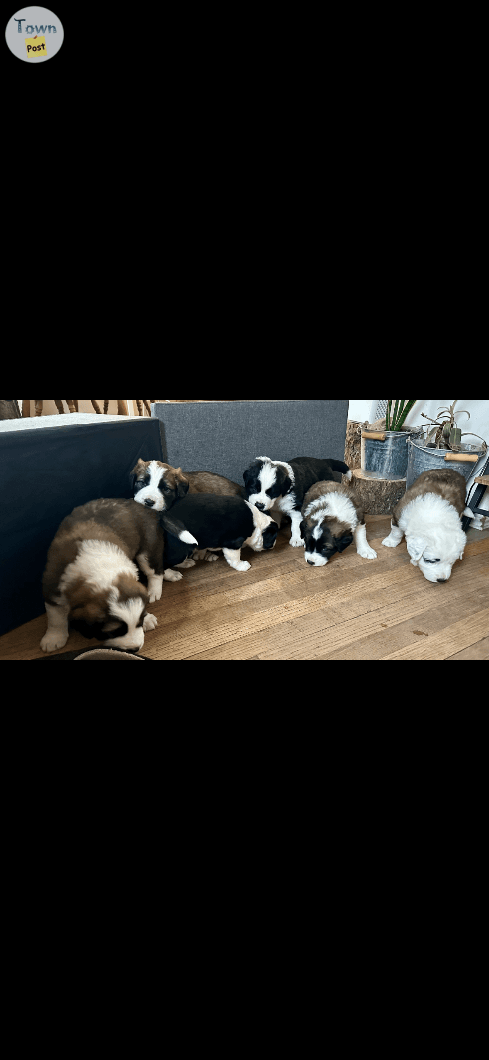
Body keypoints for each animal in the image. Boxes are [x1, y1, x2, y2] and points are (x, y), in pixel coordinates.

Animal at [38, 496, 194, 652]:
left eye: (140, 621)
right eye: (114, 632)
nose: (135, 649)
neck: (100, 568)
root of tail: (141, 504)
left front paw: (147, 618)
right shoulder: (52, 588)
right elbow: (55, 616)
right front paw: (54, 637)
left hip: (148, 547)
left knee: (154, 571)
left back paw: (155, 589)